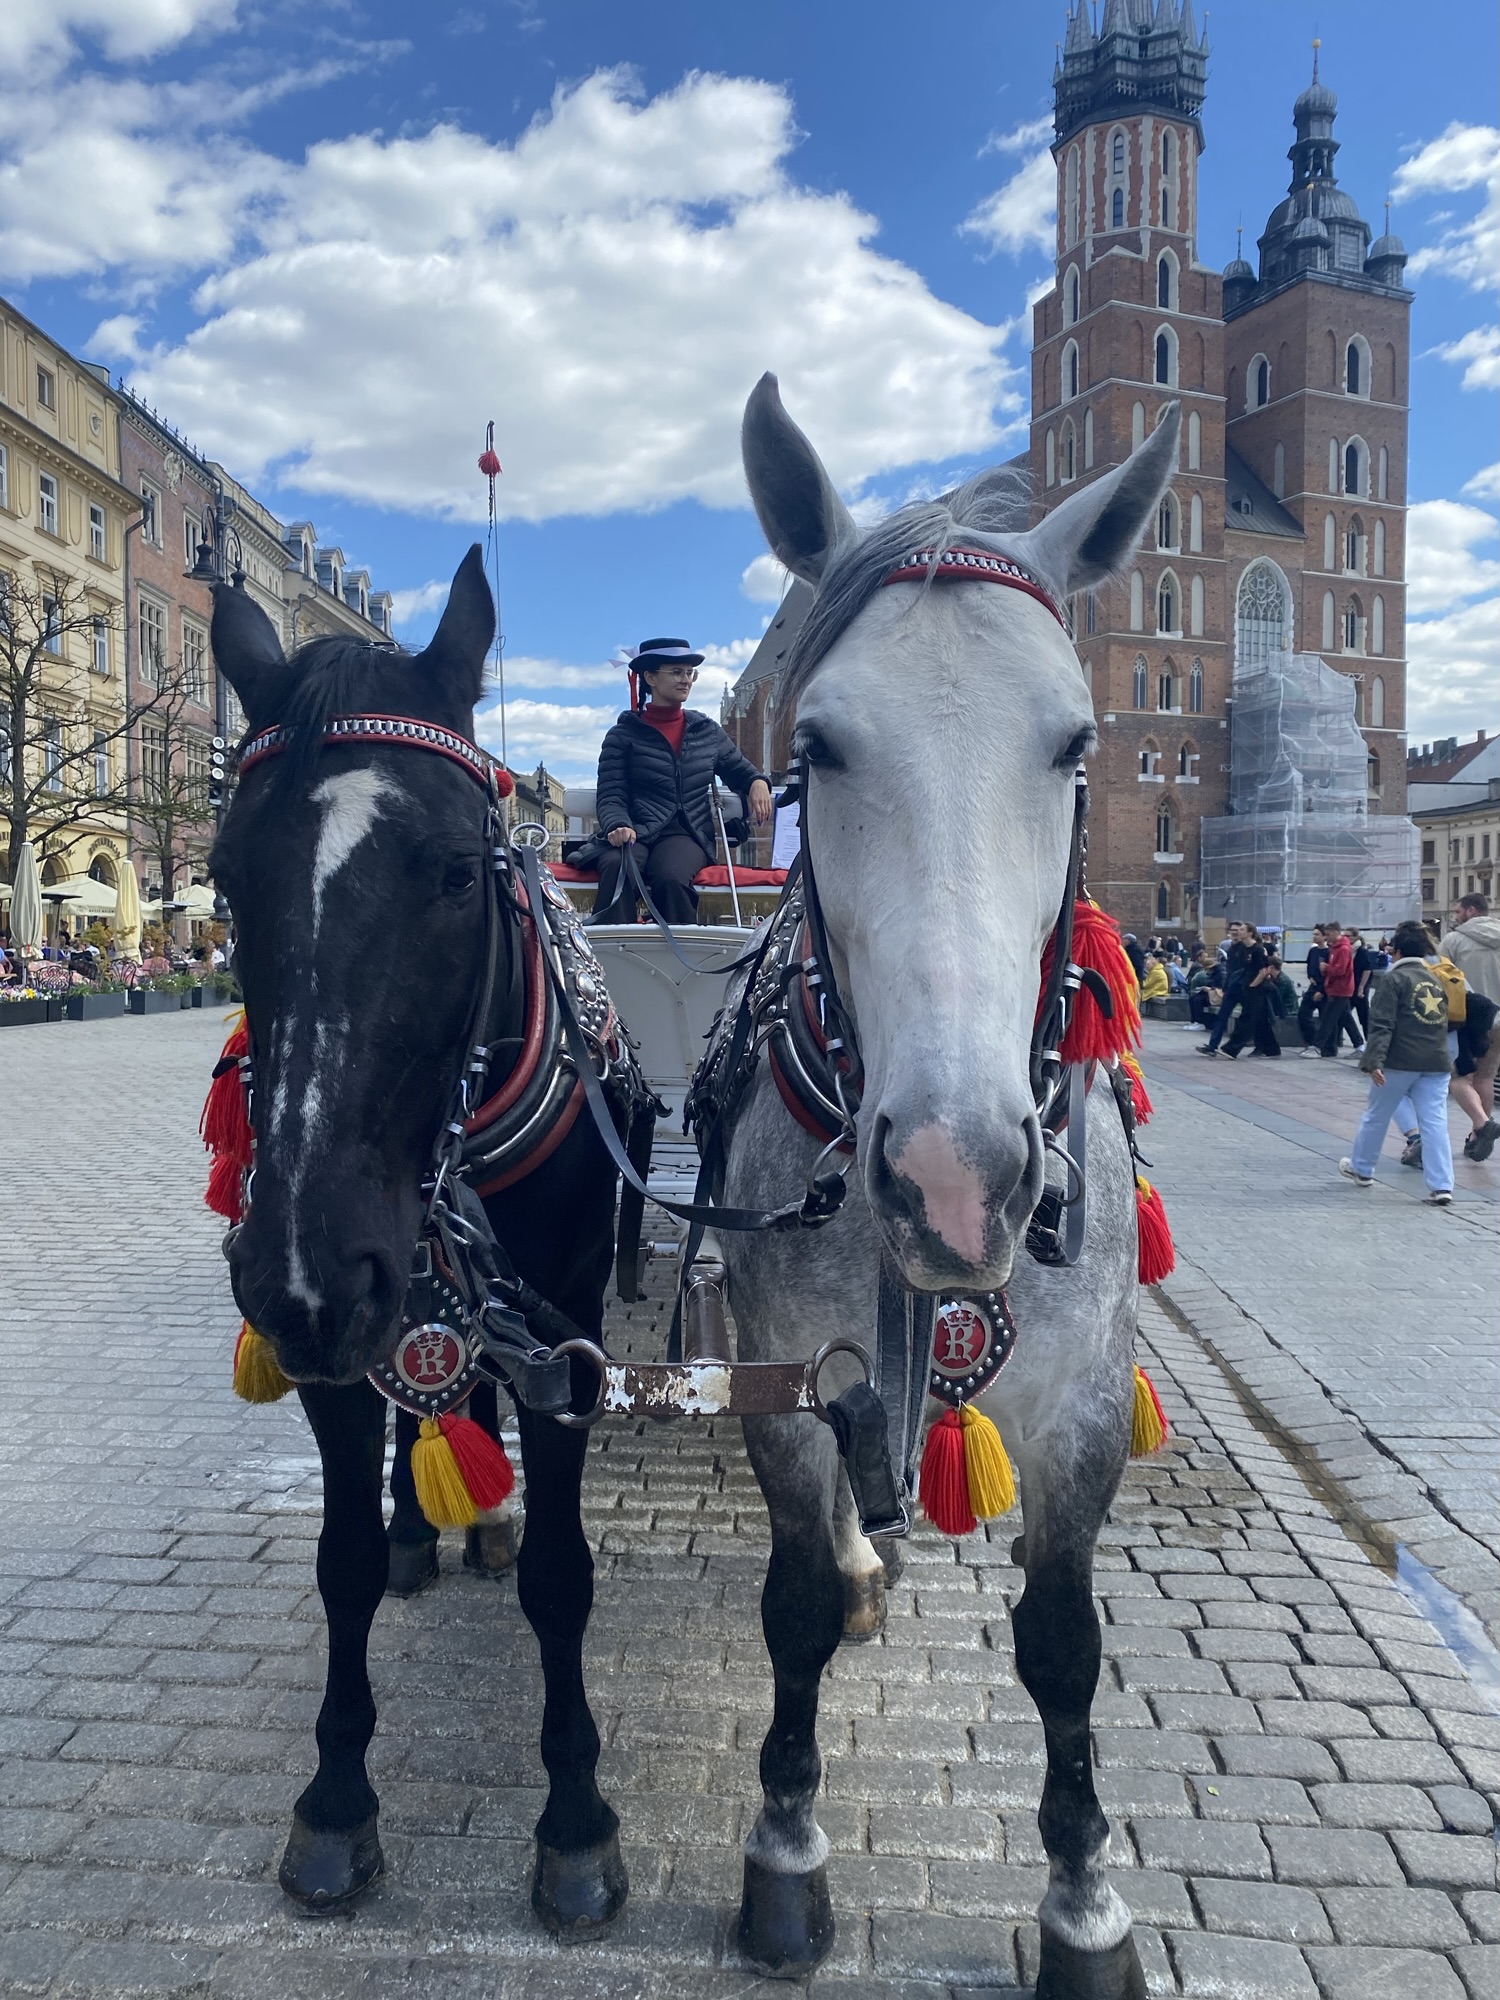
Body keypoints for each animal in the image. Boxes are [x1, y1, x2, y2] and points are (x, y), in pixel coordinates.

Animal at [207, 554, 637, 1932]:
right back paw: (426, 1524)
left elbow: (563, 1575)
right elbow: (339, 1558)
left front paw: (574, 1819)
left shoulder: (568, 1331)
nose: (301, 1267)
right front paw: (336, 1801)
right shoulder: (328, 1338)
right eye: (224, 878)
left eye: (456, 872)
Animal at [707, 377, 1179, 1996]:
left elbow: (1065, 1643)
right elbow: (787, 1601)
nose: (954, 1174)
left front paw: (1085, 1900)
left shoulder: (1083, 1404)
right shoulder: (782, 1364)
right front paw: (787, 1849)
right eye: (820, 748)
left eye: (1077, 740)